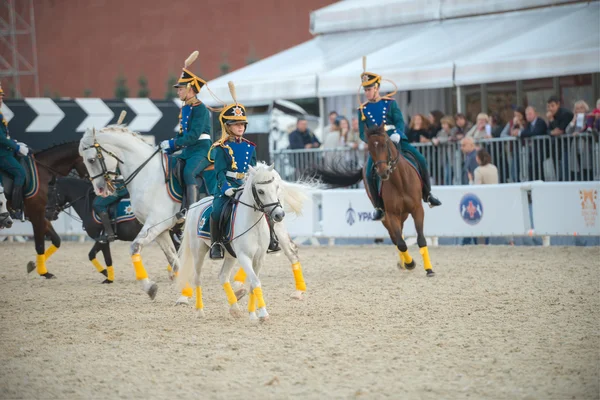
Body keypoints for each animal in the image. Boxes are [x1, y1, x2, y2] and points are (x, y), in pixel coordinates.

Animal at [4, 143, 86, 278]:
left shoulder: (42, 215)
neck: (41, 172)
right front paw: (44, 272)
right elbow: (40, 245)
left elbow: (56, 240)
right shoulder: (37, 214)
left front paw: (34, 265)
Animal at [79, 126, 183, 298]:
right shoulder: (160, 229)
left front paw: (149, 287)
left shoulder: (155, 223)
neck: (148, 175)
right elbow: (174, 260)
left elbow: (134, 247)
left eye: (91, 160)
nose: (99, 190)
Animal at [177, 162, 310, 322]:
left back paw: (234, 308)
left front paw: (253, 314)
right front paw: (263, 313)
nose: (279, 214)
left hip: (230, 255)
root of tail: (195, 205)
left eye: (276, 187)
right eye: (260, 191)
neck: (254, 223)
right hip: (198, 252)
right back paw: (199, 311)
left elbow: (253, 283)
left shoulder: (259, 258)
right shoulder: (244, 256)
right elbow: (255, 281)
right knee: (197, 279)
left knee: (223, 276)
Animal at [312, 125, 434, 278]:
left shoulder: (417, 209)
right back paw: (404, 263)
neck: (400, 182)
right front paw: (410, 263)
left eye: (385, 144)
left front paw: (429, 270)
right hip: (388, 216)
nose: (382, 172)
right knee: (396, 237)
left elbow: (421, 239)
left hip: (404, 213)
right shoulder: (391, 214)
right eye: (369, 148)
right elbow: (400, 243)